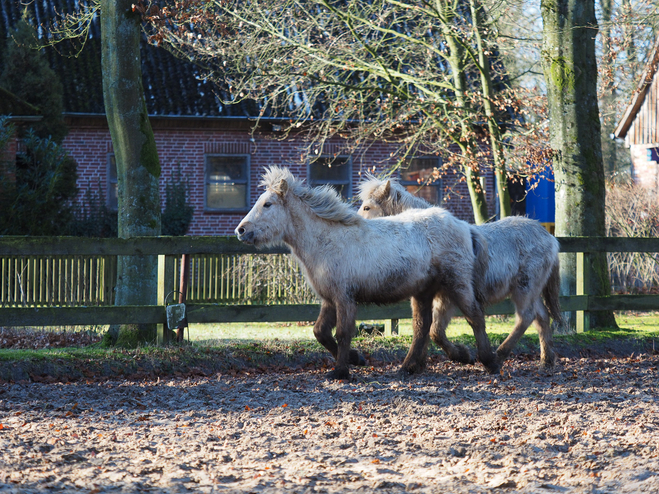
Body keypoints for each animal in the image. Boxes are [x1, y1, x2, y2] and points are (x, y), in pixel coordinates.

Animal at [235, 168, 498, 380]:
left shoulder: (345, 299)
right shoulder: (330, 299)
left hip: (457, 284)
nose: (241, 230)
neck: (326, 241)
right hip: (424, 292)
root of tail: (463, 226)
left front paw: (341, 371)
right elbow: (320, 332)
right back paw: (410, 367)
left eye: (267, 204)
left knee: (475, 317)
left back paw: (488, 361)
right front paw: (356, 359)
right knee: (423, 327)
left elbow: (342, 333)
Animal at [358, 176, 564, 368]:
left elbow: (435, 330)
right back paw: (546, 360)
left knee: (526, 317)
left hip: (524, 289)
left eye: (367, 207)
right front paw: (457, 356)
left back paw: (499, 355)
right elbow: (434, 331)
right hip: (532, 291)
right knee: (542, 318)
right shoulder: (442, 297)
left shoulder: (449, 295)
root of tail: (550, 239)